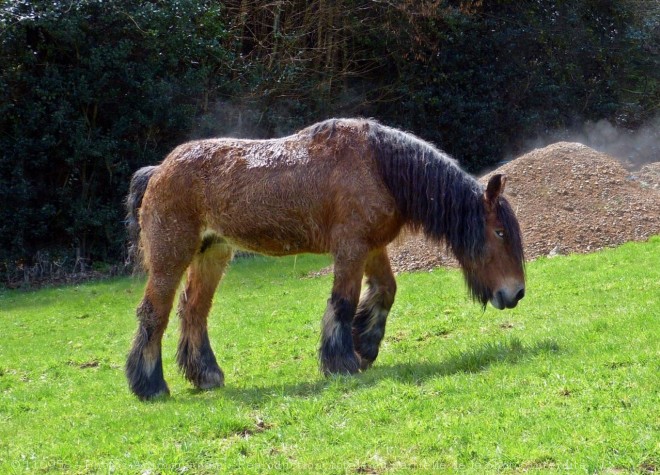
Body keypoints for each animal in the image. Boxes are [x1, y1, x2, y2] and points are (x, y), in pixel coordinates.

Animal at [125, 117, 524, 400]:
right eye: (500, 233)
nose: (516, 293)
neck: (378, 166)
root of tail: (157, 171)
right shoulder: (350, 247)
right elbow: (343, 301)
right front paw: (342, 362)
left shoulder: (371, 247)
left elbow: (385, 292)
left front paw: (365, 346)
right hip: (171, 256)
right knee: (154, 312)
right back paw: (150, 386)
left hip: (213, 253)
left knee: (193, 310)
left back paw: (205, 375)